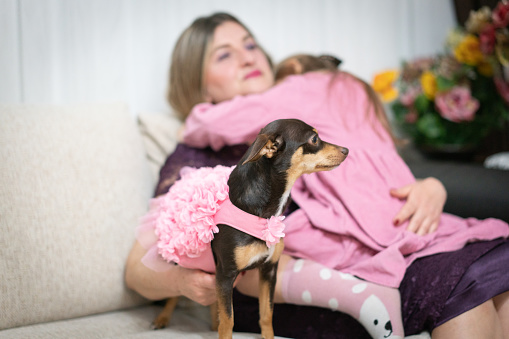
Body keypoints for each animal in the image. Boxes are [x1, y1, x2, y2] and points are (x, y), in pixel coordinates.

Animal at [152, 118, 350, 338]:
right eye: (314, 139)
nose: (346, 150)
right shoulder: (226, 274)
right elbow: (228, 321)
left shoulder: (268, 271)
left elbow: (266, 315)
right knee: (174, 295)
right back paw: (162, 318)